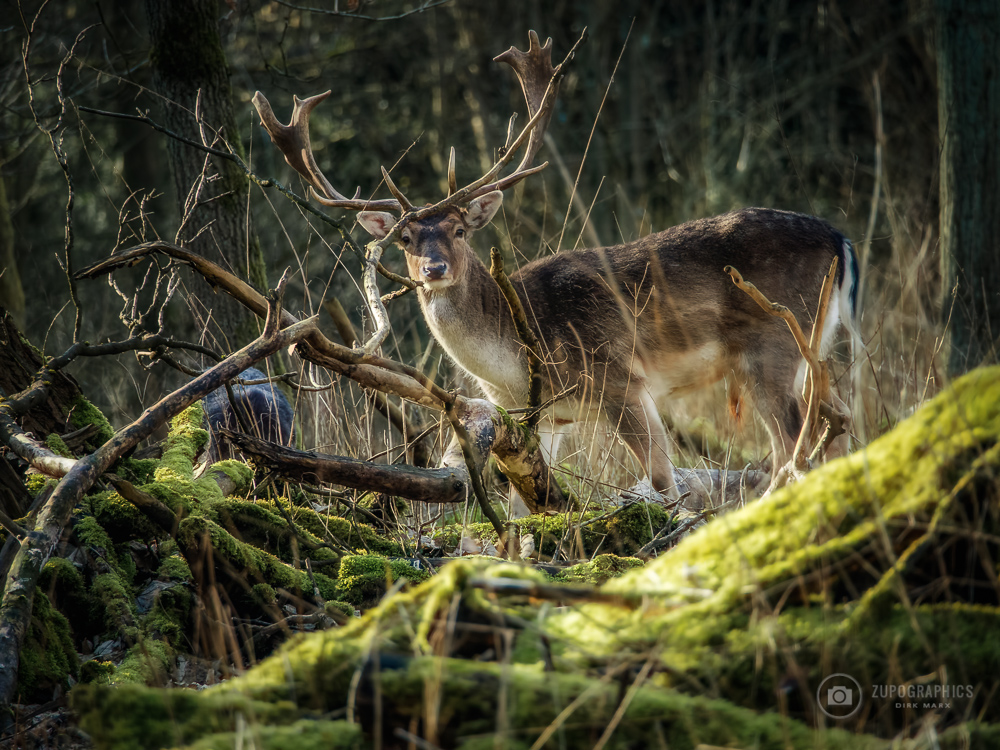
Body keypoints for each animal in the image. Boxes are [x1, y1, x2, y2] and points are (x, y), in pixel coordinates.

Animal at [254, 30, 856, 500]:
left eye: (459, 230)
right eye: (405, 237)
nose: (433, 269)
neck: (514, 362)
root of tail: (840, 239)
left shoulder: (619, 378)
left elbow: (663, 482)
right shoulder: (534, 420)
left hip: (772, 343)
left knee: (796, 449)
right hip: (813, 351)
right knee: (834, 432)